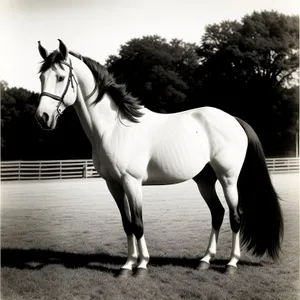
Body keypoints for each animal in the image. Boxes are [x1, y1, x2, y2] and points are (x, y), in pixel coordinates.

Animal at [35, 39, 284, 276]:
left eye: (60, 77)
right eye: (41, 77)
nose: (42, 117)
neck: (114, 128)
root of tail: (234, 119)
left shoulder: (132, 183)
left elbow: (138, 224)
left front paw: (142, 265)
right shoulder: (113, 185)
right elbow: (126, 224)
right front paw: (127, 264)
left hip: (228, 178)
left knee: (235, 216)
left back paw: (231, 263)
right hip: (205, 180)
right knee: (217, 213)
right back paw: (205, 260)